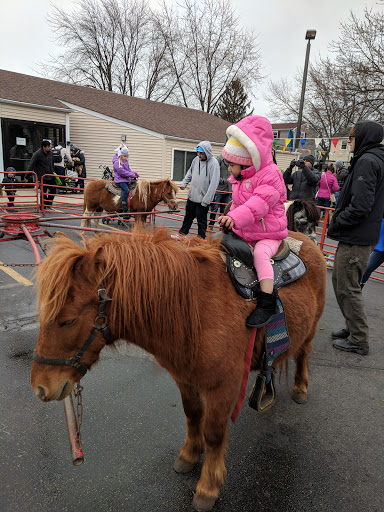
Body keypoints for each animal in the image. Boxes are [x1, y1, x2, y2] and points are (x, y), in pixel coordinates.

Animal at [31, 229, 328, 512]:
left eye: (67, 320)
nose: (40, 387)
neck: (196, 310)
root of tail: (308, 240)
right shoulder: (185, 378)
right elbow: (192, 416)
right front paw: (189, 455)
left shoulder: (223, 386)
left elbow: (214, 433)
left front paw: (208, 487)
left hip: (311, 329)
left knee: (303, 353)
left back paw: (300, 388)